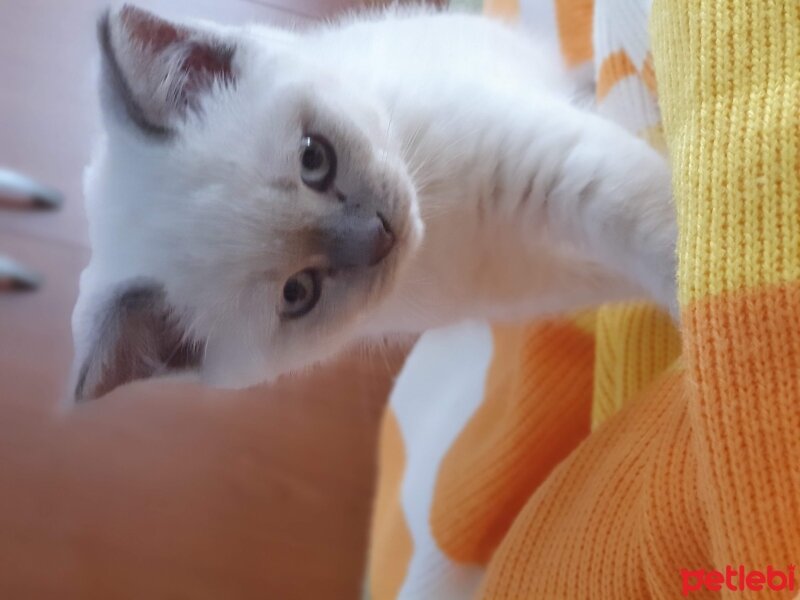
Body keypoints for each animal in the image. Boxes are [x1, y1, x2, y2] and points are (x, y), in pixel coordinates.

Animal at [72, 4, 680, 400]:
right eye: (298, 293)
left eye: (314, 159)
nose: (383, 232)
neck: (444, 226)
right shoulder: (539, 281)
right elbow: (637, 265)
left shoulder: (545, 157)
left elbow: (650, 226)